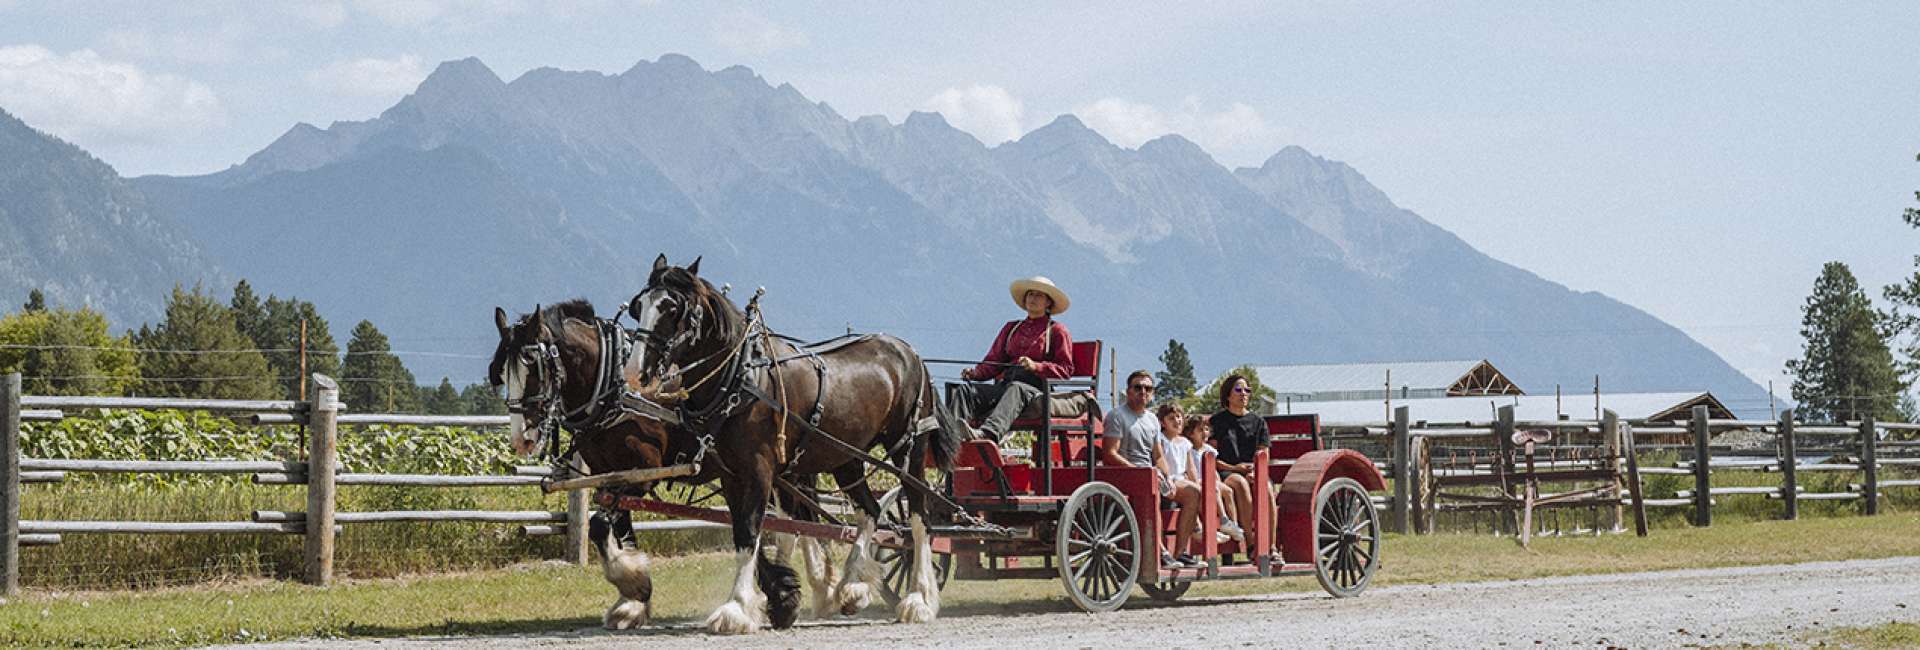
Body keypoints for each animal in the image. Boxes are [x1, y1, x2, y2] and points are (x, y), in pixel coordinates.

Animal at [625, 255, 960, 636]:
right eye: (638, 307)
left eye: (671, 308)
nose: (635, 372)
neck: (742, 376)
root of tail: (911, 352)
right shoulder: (732, 474)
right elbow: (750, 532)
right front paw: (776, 598)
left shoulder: (760, 469)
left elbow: (753, 531)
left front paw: (737, 607)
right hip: (846, 458)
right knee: (870, 512)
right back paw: (851, 587)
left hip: (908, 449)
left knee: (918, 518)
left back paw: (918, 598)